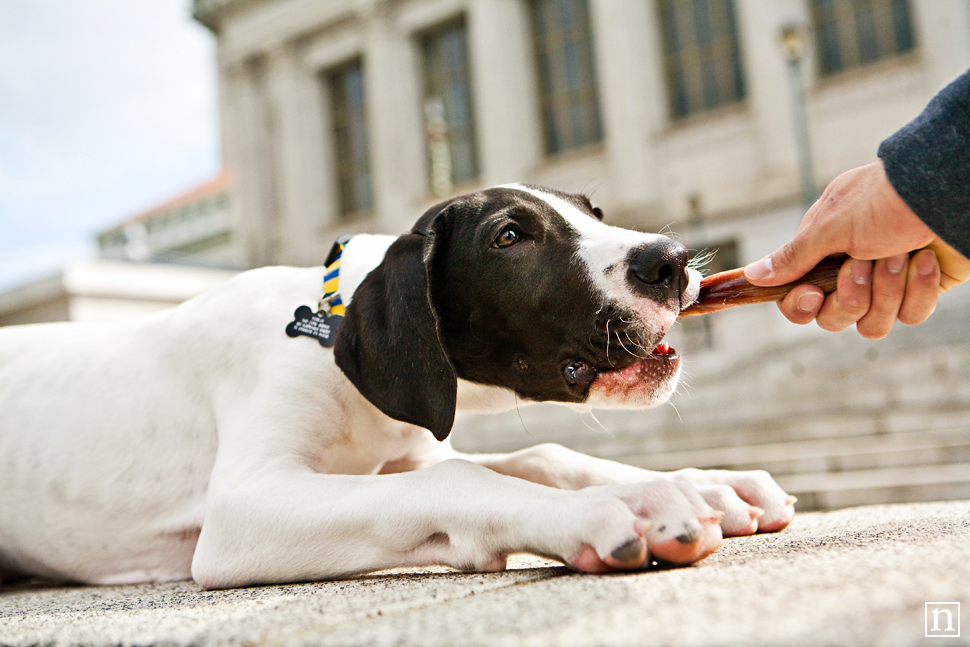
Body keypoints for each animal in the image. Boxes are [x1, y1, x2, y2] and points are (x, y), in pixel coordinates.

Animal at [0, 185, 796, 588]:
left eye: (592, 214)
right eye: (509, 237)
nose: (669, 260)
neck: (323, 336)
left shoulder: (405, 453)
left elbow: (541, 456)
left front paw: (701, 482)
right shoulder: (240, 512)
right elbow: (461, 482)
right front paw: (617, 510)